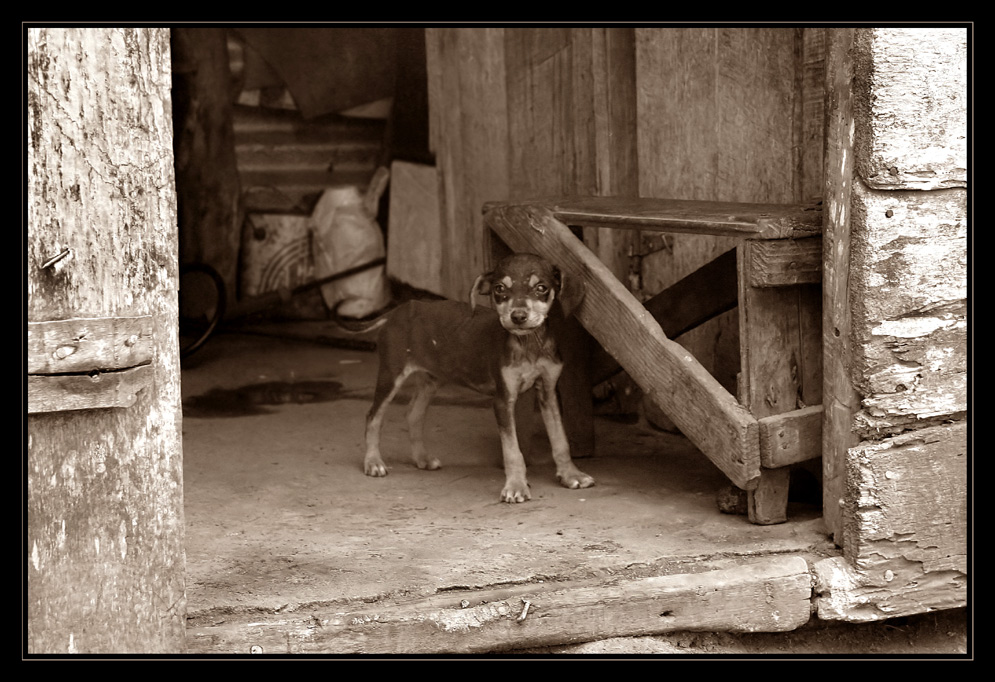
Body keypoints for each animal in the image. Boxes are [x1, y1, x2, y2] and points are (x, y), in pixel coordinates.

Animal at [366, 250, 600, 500]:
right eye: (499, 288)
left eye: (541, 288)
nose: (518, 316)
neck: (528, 344)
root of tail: (397, 311)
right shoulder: (502, 400)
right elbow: (512, 450)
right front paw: (516, 486)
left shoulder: (548, 392)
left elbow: (560, 440)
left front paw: (571, 475)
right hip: (392, 373)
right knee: (373, 416)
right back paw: (373, 462)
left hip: (431, 378)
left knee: (413, 414)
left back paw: (422, 459)